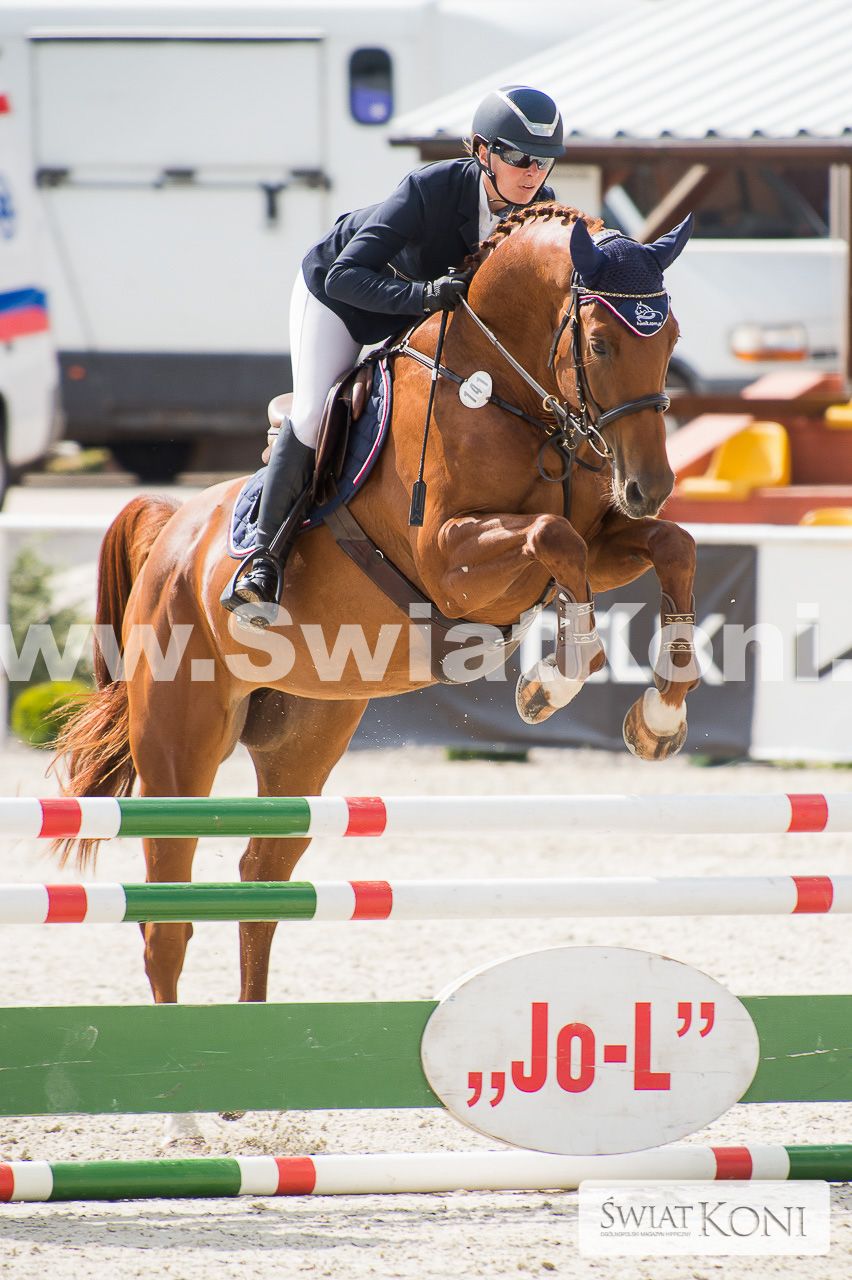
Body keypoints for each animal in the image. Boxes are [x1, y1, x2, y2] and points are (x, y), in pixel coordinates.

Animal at [52, 203, 699, 1007]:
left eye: (672, 340)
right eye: (602, 342)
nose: (649, 484)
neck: (506, 393)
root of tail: (172, 532)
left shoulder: (604, 537)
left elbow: (669, 546)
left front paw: (659, 717)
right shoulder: (452, 563)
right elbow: (555, 539)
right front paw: (552, 681)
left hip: (306, 732)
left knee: (261, 882)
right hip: (181, 745)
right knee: (165, 919)